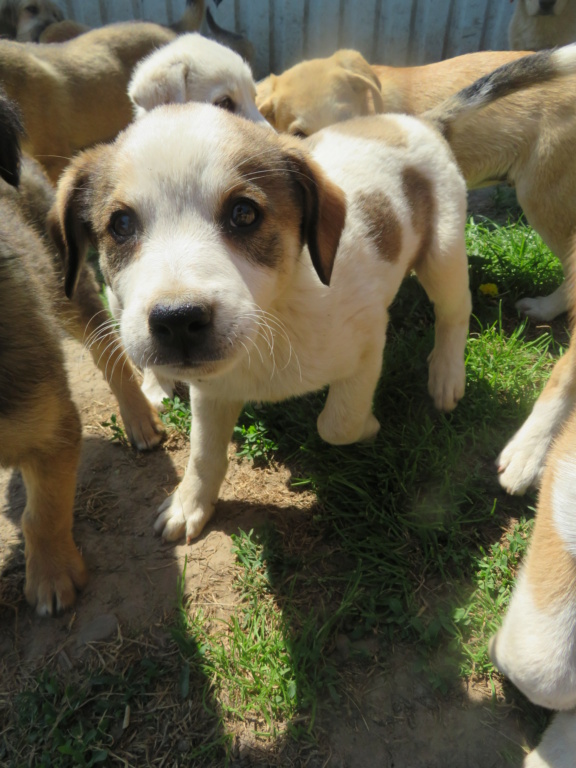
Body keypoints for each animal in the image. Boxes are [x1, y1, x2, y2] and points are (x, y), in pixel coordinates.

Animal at [0, 91, 162, 616]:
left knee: (110, 354)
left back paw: (140, 420)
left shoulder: (51, 425)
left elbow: (43, 511)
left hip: (67, 284)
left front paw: (51, 575)